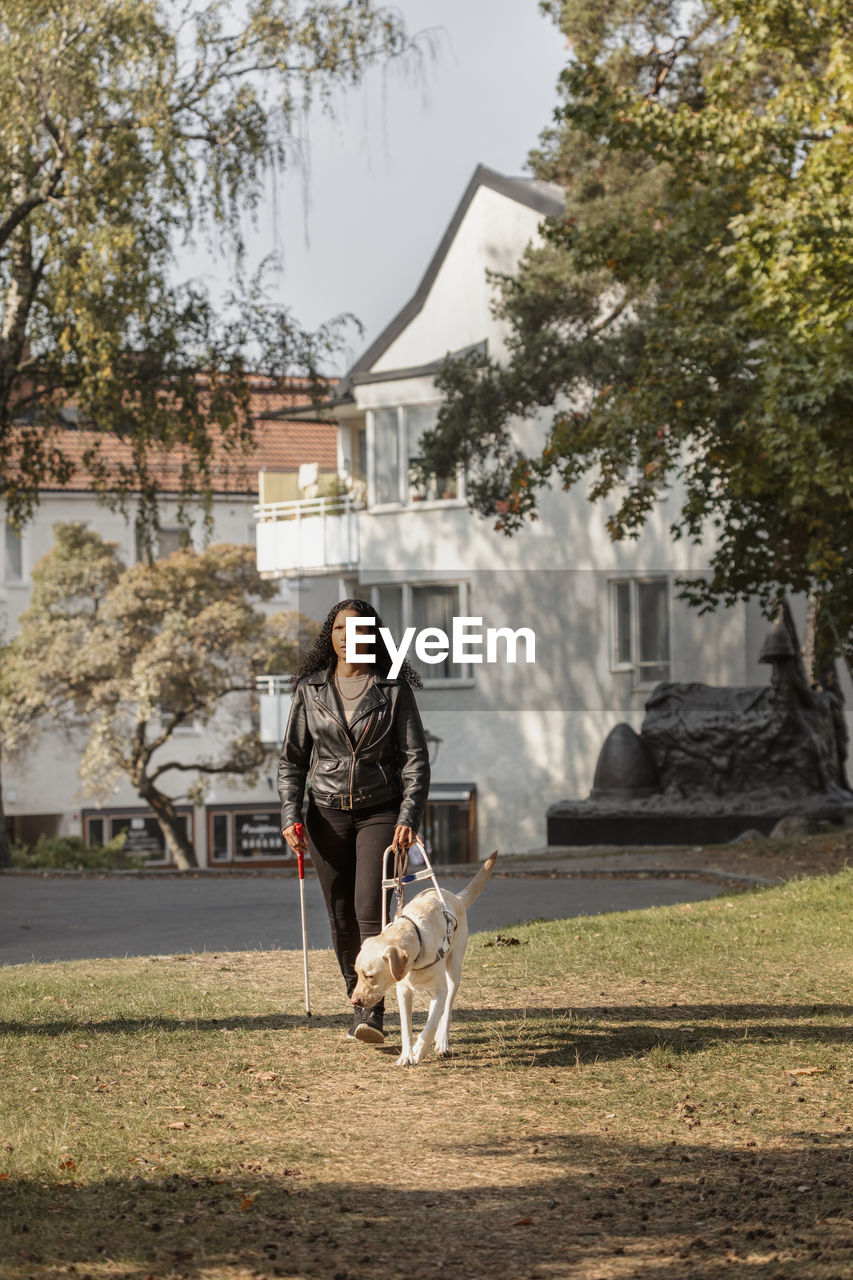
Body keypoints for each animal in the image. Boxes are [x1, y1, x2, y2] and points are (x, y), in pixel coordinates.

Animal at [350, 849, 499, 1070]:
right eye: (357, 974)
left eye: (369, 976)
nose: (354, 1000)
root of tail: (455, 897)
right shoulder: (403, 992)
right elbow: (407, 1028)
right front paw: (407, 1054)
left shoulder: (440, 989)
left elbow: (430, 1025)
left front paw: (419, 1051)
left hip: (453, 972)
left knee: (446, 1009)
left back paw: (443, 1041)